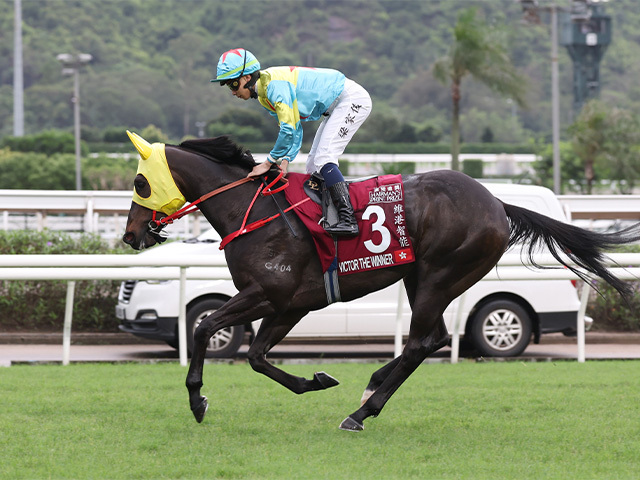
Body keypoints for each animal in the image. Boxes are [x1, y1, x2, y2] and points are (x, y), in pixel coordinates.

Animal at [122, 132, 636, 432]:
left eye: (140, 183)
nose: (130, 235)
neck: (255, 212)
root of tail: (497, 203)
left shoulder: (268, 294)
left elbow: (204, 327)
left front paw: (197, 400)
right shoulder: (290, 303)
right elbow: (256, 355)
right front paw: (316, 379)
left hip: (440, 274)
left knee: (422, 342)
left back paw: (362, 411)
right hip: (421, 278)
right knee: (433, 338)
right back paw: (370, 386)